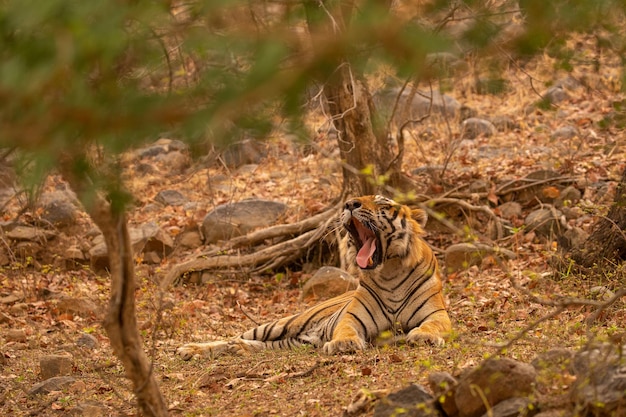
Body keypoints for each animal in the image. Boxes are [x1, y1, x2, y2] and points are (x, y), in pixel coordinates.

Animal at [176, 195, 448, 358]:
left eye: (382, 204)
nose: (350, 204)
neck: (389, 272)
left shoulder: (438, 314)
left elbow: (432, 324)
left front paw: (423, 336)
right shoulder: (351, 318)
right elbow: (345, 330)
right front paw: (343, 344)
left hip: (292, 341)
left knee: (257, 345)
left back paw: (240, 349)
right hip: (281, 324)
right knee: (233, 336)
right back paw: (189, 349)